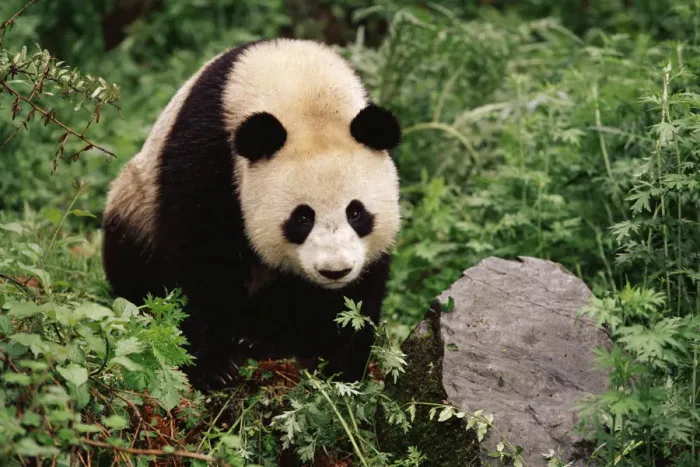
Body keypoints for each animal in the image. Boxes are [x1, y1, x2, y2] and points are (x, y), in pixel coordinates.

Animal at [101, 38, 402, 391]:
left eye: (356, 212)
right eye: (302, 218)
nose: (334, 270)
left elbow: (362, 288)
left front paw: (343, 364)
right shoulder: (207, 151)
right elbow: (198, 255)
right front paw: (214, 366)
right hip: (135, 203)